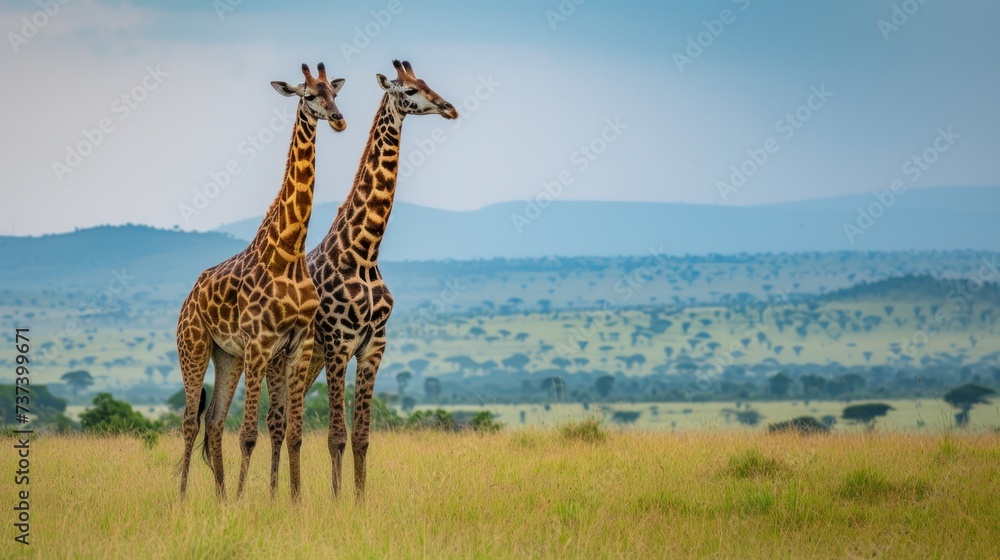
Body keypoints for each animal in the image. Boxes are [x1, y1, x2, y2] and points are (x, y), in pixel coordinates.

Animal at [176, 63, 347, 502]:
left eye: (334, 93)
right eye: (309, 95)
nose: (338, 119)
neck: (289, 250)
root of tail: (189, 297)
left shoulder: (298, 342)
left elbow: (294, 432)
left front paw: (294, 500)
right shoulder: (260, 342)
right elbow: (250, 434)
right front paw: (243, 501)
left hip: (227, 356)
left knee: (213, 421)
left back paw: (219, 498)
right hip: (194, 346)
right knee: (189, 421)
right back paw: (182, 498)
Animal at [300, 59, 458, 499]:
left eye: (426, 82)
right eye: (408, 90)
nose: (449, 108)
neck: (365, 252)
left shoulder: (373, 347)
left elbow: (361, 437)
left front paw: (359, 500)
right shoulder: (339, 345)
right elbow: (336, 435)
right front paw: (336, 502)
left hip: (310, 359)